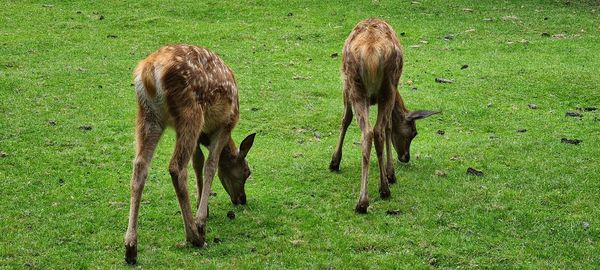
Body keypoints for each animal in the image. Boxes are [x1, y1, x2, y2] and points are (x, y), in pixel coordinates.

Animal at [124, 44, 255, 264]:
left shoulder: (196, 132)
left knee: (140, 166)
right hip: (190, 110)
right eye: (247, 172)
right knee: (176, 167)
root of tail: (149, 72)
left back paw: (130, 248)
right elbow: (210, 165)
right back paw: (194, 237)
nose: (241, 199)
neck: (208, 134)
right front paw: (201, 220)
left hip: (148, 115)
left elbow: (197, 162)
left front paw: (202, 208)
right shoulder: (225, 124)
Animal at [330, 18, 438, 213]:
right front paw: (390, 173)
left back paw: (371, 196)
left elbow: (345, 119)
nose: (405, 157)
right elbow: (388, 127)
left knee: (371, 131)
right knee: (376, 131)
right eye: (414, 132)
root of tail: (371, 51)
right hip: (387, 87)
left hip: (357, 84)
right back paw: (376, 192)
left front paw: (334, 162)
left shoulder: (345, 85)